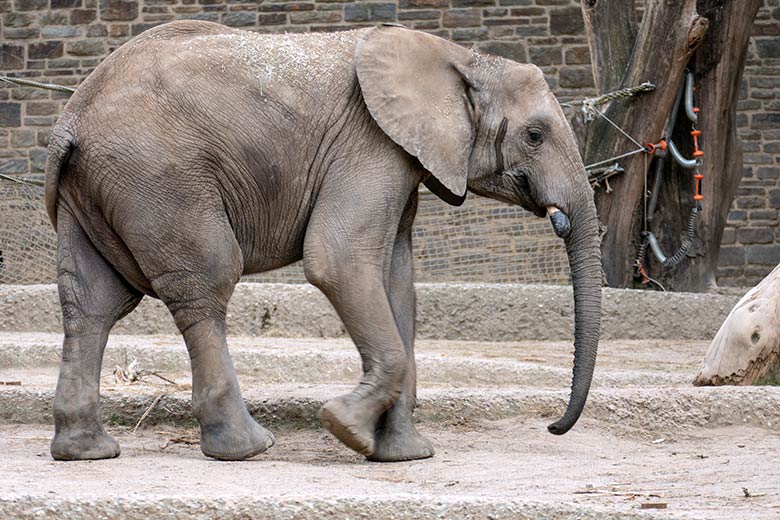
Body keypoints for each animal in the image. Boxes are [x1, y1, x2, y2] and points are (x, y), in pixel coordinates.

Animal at [44, 21, 604, 464]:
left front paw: (402, 455)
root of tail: (72, 119)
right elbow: (339, 262)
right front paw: (343, 427)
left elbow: (396, 281)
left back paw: (87, 452)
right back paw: (247, 448)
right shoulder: (370, 145)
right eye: (535, 135)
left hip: (94, 190)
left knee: (93, 304)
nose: (553, 426)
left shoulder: (401, 159)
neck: (461, 57)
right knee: (205, 283)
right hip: (163, 179)